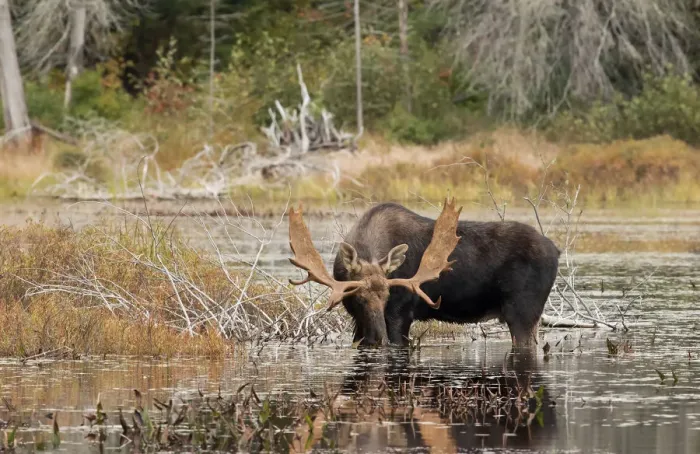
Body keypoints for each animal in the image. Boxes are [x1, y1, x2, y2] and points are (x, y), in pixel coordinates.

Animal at [287, 196, 560, 349]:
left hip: (523, 311)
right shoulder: (357, 318)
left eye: (388, 296)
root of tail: (556, 251)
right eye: (358, 297)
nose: (378, 339)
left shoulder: (400, 314)